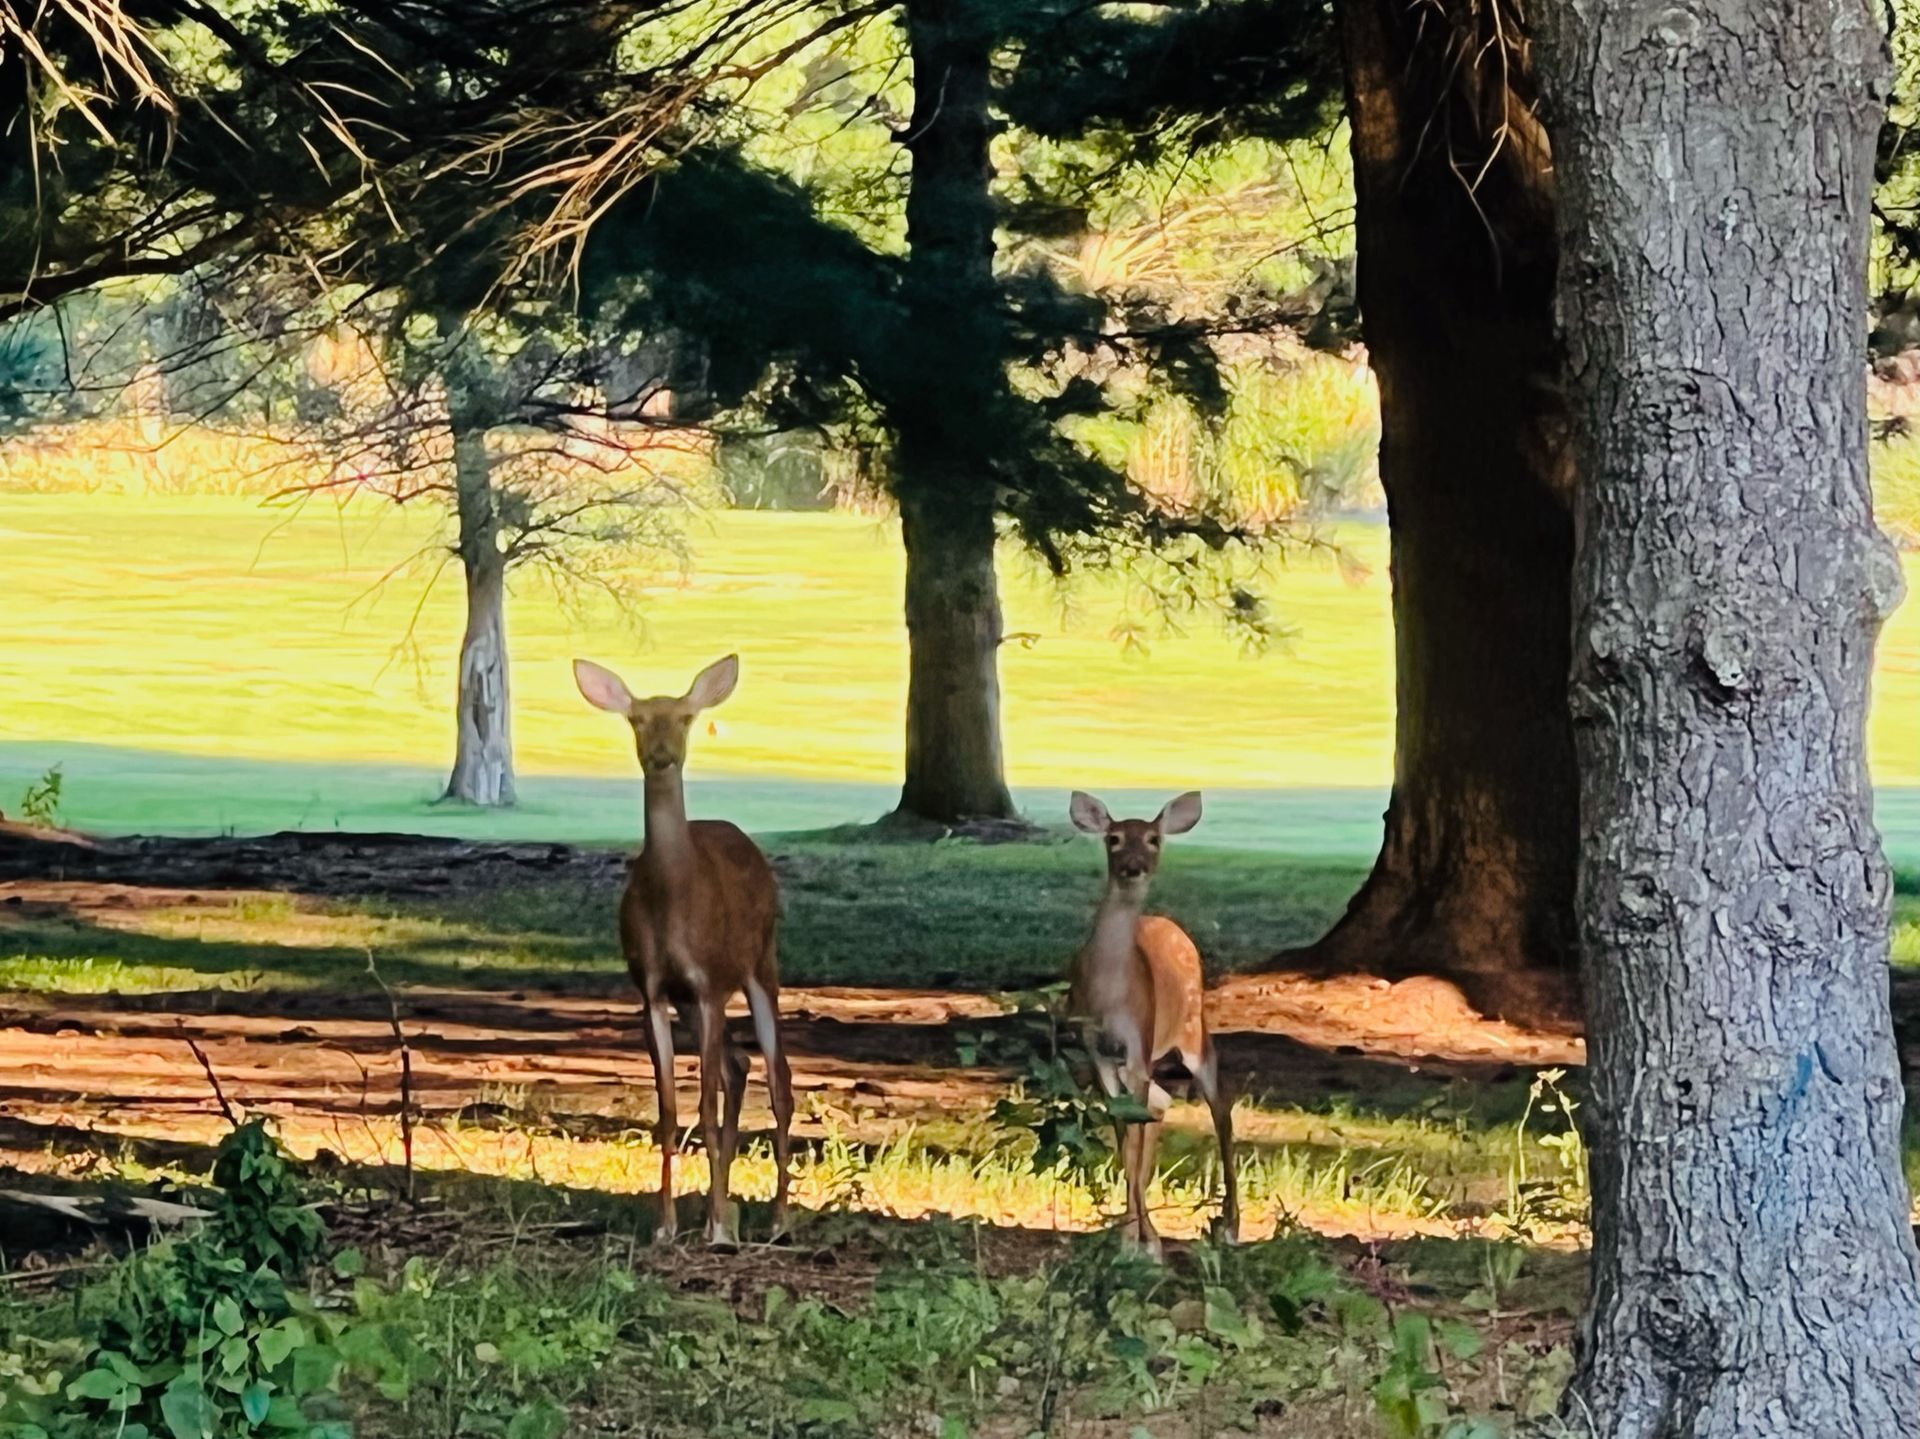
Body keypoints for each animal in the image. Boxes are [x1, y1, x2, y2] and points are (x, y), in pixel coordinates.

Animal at [574, 653, 794, 1249]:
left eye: (687, 717)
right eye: (636, 719)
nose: (661, 755)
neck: (673, 903)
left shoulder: (711, 982)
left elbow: (708, 1108)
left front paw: (716, 1227)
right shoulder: (652, 988)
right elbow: (671, 1111)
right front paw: (667, 1225)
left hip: (761, 962)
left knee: (779, 1081)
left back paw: (777, 1219)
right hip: (693, 1001)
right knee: (741, 1065)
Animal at [1066, 790, 1239, 1257]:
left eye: (1153, 839)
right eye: (1113, 838)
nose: (1133, 867)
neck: (1109, 995)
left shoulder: (1139, 1044)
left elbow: (1134, 1133)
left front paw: (1138, 1242)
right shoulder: (1097, 1049)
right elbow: (1126, 1134)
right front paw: (1133, 1237)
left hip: (1195, 1030)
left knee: (1221, 1109)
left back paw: (1231, 1225)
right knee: (1161, 1105)